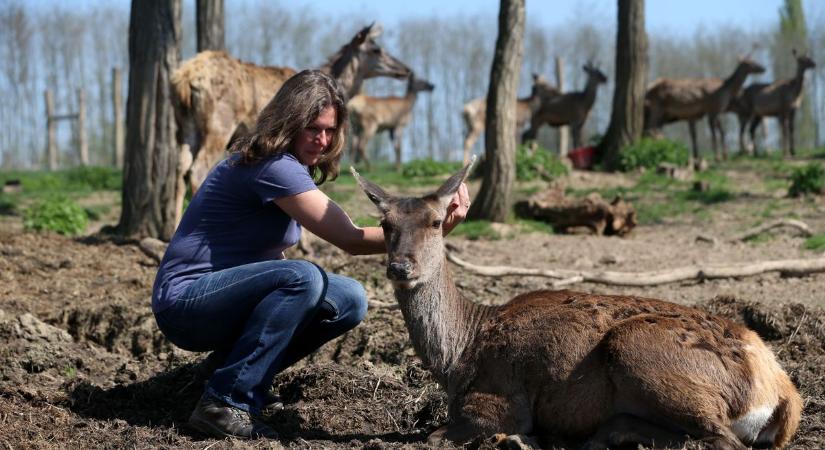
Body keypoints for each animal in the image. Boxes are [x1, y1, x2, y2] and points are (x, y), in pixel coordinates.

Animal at [171, 22, 412, 223]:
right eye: (376, 49)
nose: (406, 69)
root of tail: (184, 80)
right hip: (219, 123)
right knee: (197, 169)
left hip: (185, 127)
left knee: (180, 169)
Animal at [350, 156, 800, 448]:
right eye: (385, 224)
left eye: (435, 221)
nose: (399, 266)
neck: (458, 358)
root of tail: (781, 390)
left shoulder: (499, 399)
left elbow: (436, 434)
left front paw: (515, 436)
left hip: (639, 348)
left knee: (720, 439)